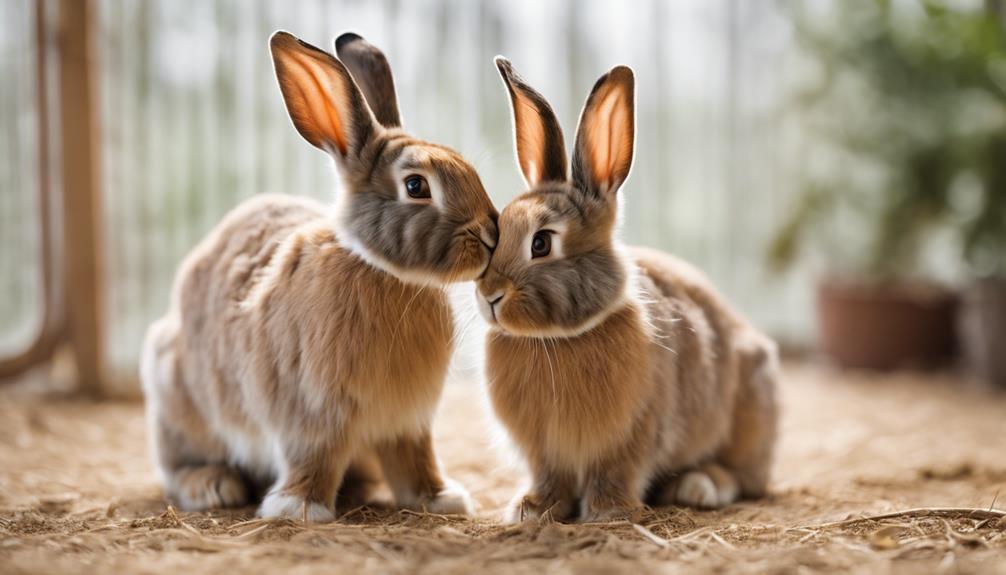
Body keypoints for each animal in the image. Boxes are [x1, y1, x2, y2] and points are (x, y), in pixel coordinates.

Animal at [141, 32, 498, 526]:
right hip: (178, 405)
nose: (492, 233)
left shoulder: (408, 421)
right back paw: (213, 485)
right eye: (416, 186)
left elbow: (416, 460)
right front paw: (301, 507)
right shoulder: (311, 411)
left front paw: (440, 498)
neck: (384, 272)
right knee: (177, 467)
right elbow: (313, 455)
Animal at [478, 57, 776, 522]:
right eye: (496, 231)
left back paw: (700, 486)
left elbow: (614, 472)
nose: (489, 295)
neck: (556, 339)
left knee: (744, 478)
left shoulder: (632, 435)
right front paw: (533, 509)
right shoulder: (544, 450)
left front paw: (608, 512)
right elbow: (549, 477)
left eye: (541, 243)